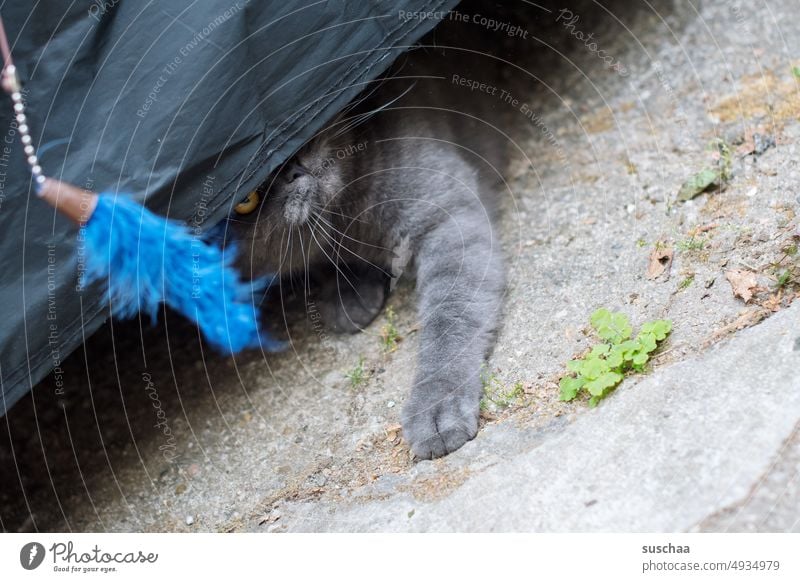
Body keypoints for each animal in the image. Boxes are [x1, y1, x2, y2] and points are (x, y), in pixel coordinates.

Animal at [231, 60, 506, 460]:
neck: (350, 215)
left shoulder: (447, 219)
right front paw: (348, 295)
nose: (293, 165)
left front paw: (436, 410)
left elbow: (449, 319)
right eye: (245, 199)